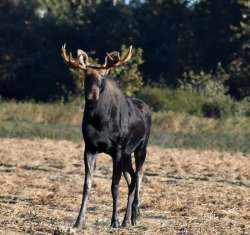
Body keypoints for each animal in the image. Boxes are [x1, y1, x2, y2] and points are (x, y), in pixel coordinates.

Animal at [61, 44, 150, 228]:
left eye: (102, 78)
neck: (100, 122)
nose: (91, 97)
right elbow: (87, 184)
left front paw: (114, 220)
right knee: (131, 179)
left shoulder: (118, 149)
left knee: (138, 177)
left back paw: (134, 216)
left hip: (141, 148)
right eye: (86, 77)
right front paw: (79, 221)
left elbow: (114, 185)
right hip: (126, 155)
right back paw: (126, 220)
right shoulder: (89, 147)